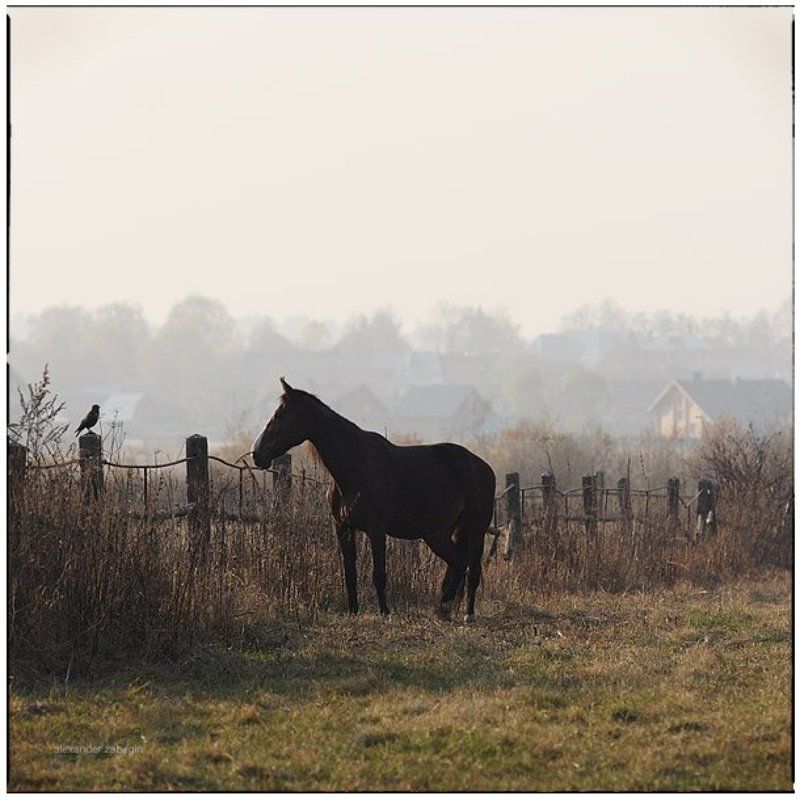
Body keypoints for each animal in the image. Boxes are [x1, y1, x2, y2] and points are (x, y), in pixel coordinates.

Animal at [251, 378, 496, 621]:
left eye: (280, 415)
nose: (256, 453)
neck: (355, 467)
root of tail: (483, 467)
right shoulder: (343, 528)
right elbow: (350, 572)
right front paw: (353, 610)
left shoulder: (376, 530)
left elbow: (379, 574)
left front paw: (384, 612)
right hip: (438, 534)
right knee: (458, 562)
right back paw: (444, 609)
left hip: (475, 529)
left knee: (472, 568)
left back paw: (467, 613)